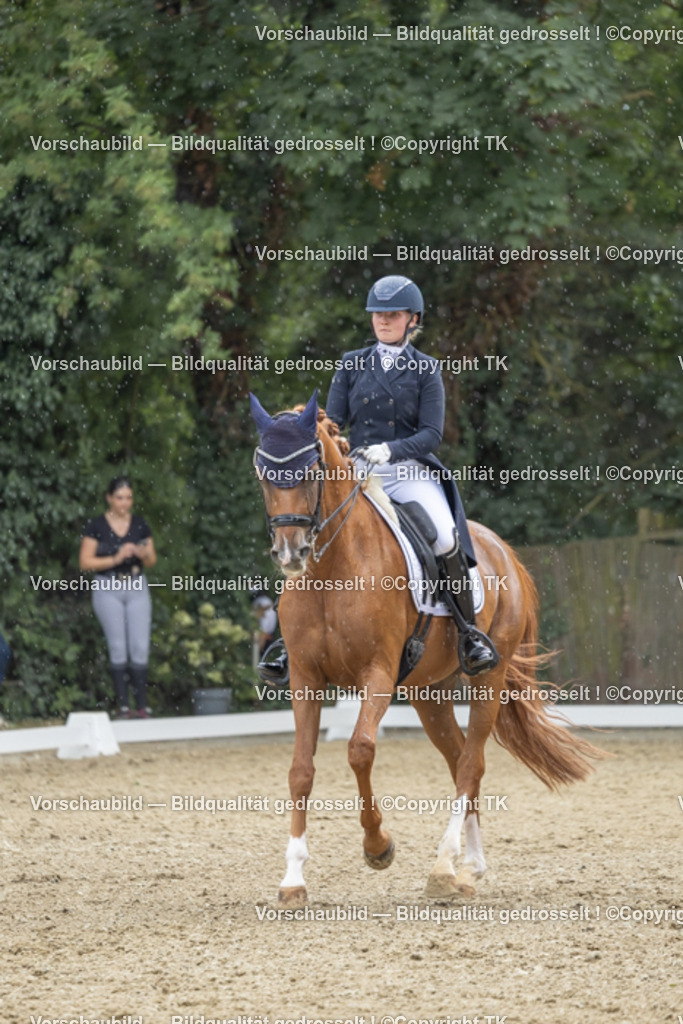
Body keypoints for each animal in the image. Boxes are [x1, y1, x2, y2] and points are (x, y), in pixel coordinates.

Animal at [251, 390, 603, 907]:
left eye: (312, 468)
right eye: (262, 473)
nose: (290, 553)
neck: (332, 570)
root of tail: (500, 547)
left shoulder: (377, 673)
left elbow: (360, 750)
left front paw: (378, 846)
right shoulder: (305, 678)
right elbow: (300, 770)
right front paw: (293, 878)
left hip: (487, 677)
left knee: (472, 762)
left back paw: (444, 865)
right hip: (428, 692)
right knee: (460, 761)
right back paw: (467, 867)